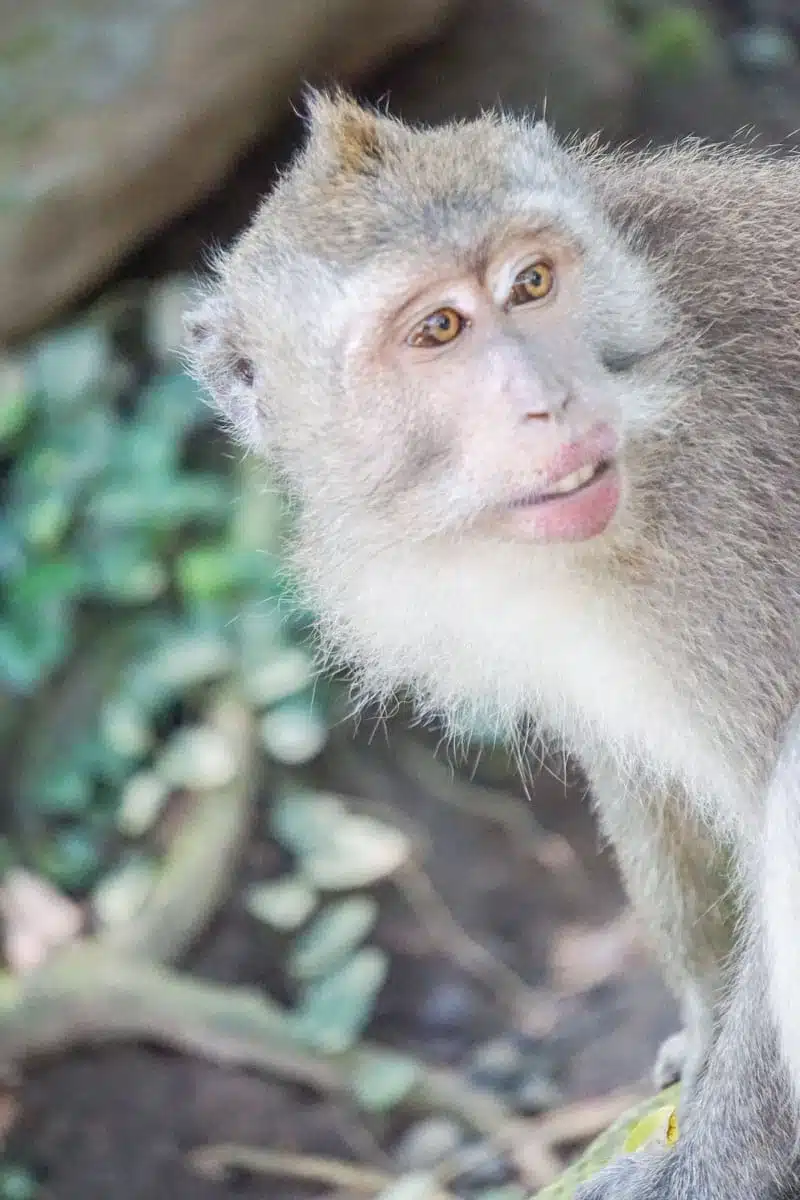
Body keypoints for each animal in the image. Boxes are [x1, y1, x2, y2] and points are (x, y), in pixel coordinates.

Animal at [184, 91, 800, 1198]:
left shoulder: (736, 522)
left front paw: (707, 1166)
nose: (548, 402)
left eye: (531, 283)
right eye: (437, 329)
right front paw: (697, 1030)